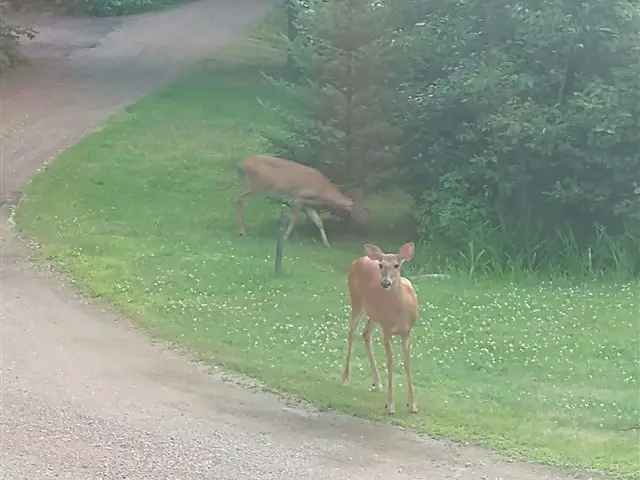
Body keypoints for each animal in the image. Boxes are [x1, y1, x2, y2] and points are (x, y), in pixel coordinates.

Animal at [235, 155, 368, 248]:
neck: (323, 191)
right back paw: (242, 231)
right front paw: (285, 237)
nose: (365, 220)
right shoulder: (298, 199)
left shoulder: (307, 205)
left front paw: (326, 244)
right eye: (360, 210)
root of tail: (242, 164)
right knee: (240, 199)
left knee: (238, 198)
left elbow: (319, 221)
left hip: (248, 185)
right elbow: (294, 219)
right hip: (256, 186)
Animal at [340, 242, 420, 414]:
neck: (399, 312)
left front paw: (413, 405)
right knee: (351, 333)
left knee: (365, 333)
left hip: (374, 316)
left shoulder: (407, 331)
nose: (385, 283)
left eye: (397, 265)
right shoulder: (387, 330)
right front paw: (390, 405)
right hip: (357, 301)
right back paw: (345, 378)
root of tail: (359, 259)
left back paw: (377, 383)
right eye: (381, 265)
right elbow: (391, 362)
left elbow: (407, 363)